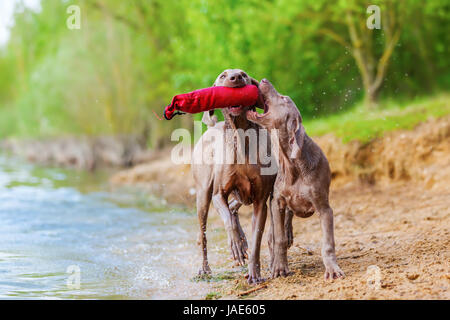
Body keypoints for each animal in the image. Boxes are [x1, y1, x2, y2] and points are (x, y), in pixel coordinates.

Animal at [192, 69, 276, 282]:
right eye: (223, 76)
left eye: (243, 74)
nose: (235, 77)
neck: (241, 136)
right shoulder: (218, 194)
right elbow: (227, 221)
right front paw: (236, 246)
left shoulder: (261, 200)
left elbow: (256, 240)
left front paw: (254, 273)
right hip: (203, 194)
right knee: (204, 232)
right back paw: (205, 268)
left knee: (233, 207)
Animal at [246, 79, 344, 280]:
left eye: (284, 98)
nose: (264, 80)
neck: (292, 165)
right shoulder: (277, 202)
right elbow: (279, 239)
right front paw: (279, 267)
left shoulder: (324, 208)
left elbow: (328, 243)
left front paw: (332, 269)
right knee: (274, 235)